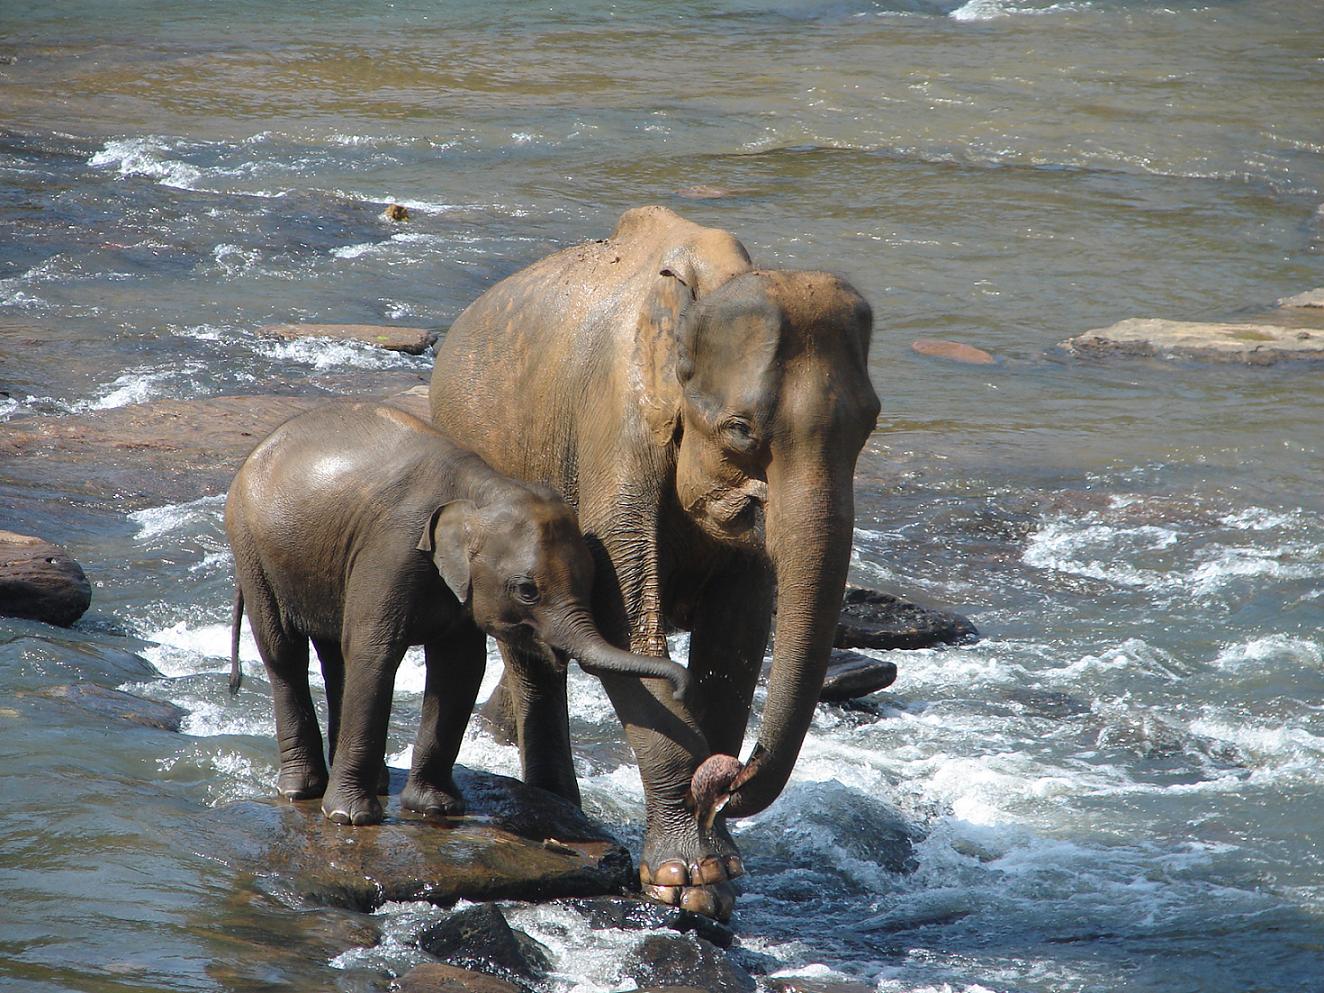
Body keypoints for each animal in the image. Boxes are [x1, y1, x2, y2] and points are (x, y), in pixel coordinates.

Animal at [225, 399, 693, 826]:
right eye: (527, 591)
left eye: (592, 582)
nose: (684, 685)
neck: (482, 490)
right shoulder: (391, 550)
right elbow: (376, 655)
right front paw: (350, 818)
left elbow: (461, 668)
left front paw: (435, 809)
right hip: (250, 544)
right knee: (285, 653)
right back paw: (300, 790)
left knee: (335, 658)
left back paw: (374, 782)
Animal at [426, 206, 879, 921]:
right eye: (741, 431)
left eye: (870, 425)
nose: (726, 779)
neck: (703, 291)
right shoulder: (614, 440)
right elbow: (623, 624)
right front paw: (685, 879)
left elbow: (738, 641)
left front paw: (721, 863)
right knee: (531, 653)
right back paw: (562, 812)